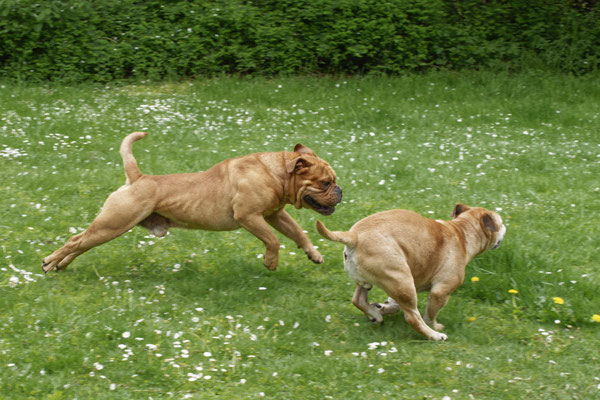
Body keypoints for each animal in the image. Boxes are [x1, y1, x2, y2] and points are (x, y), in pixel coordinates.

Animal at [42, 133, 342, 274]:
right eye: (325, 182)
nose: (340, 191)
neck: (276, 172)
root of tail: (137, 177)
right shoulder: (250, 217)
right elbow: (273, 240)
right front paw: (270, 262)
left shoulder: (274, 215)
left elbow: (297, 233)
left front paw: (313, 253)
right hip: (113, 223)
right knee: (75, 241)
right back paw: (49, 262)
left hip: (108, 227)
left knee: (81, 244)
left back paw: (60, 265)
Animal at [316, 206, 504, 340]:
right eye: (501, 224)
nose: (505, 227)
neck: (462, 232)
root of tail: (354, 236)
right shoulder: (440, 291)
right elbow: (430, 314)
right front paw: (435, 326)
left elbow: (393, 304)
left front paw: (382, 308)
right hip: (402, 280)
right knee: (413, 318)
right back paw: (434, 336)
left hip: (387, 282)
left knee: (359, 299)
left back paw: (375, 314)